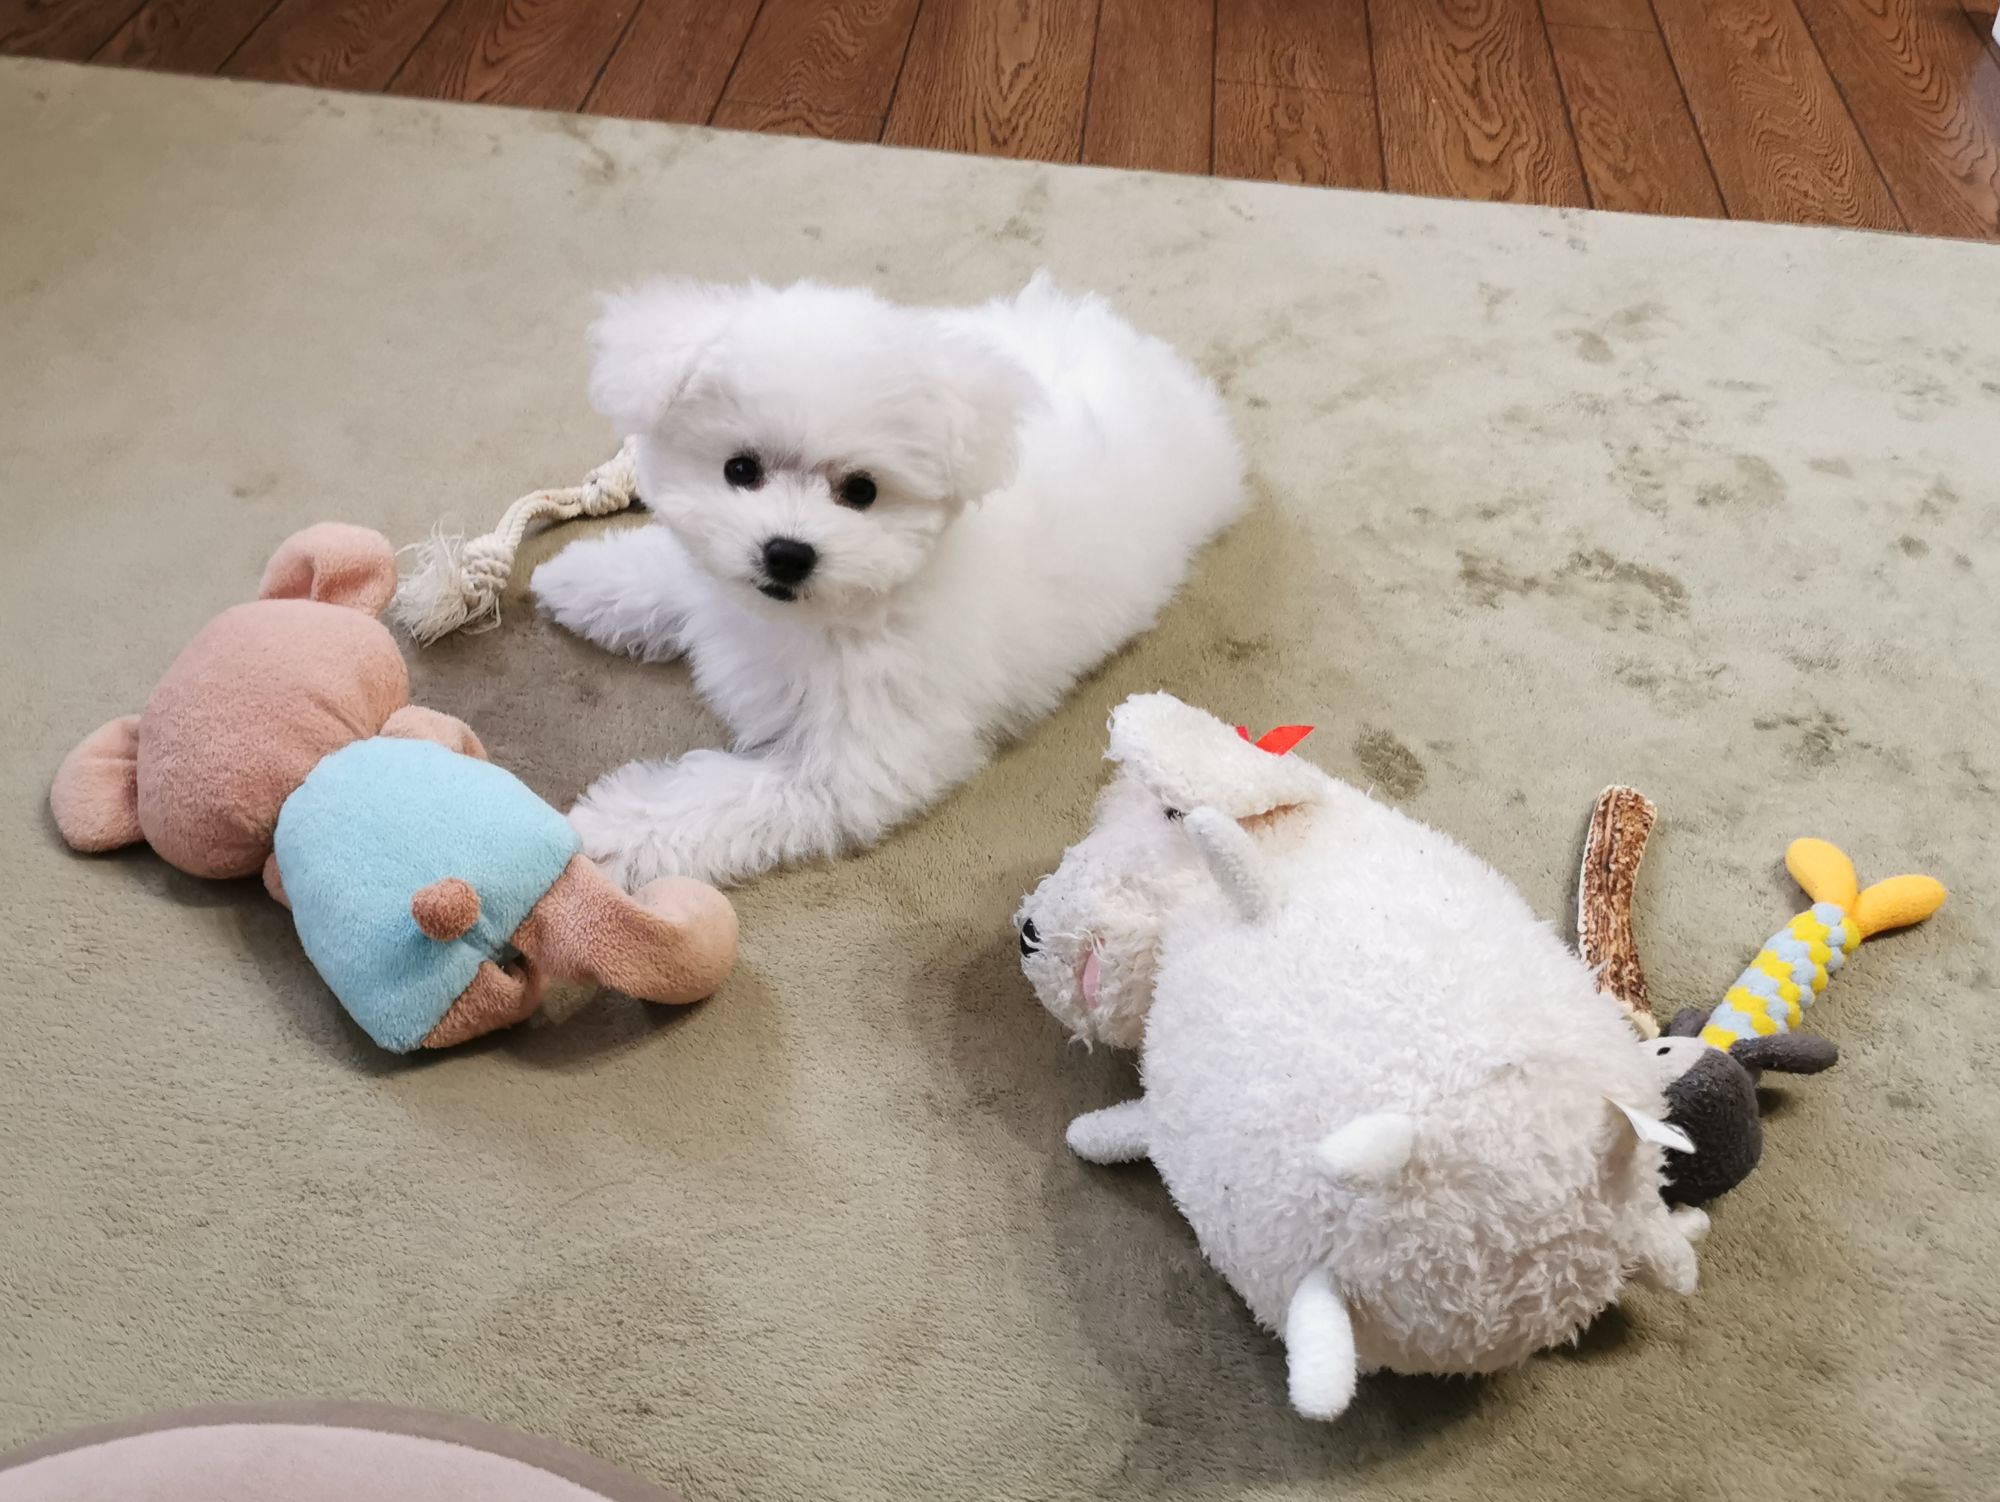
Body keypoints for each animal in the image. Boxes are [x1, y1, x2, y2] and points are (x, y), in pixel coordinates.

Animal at [532, 274, 1244, 889]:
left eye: (862, 491)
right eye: (739, 469)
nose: (786, 553)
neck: (825, 612)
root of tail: (1139, 352)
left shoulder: (853, 761)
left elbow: (717, 798)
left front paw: (607, 833)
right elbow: (669, 574)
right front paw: (579, 579)